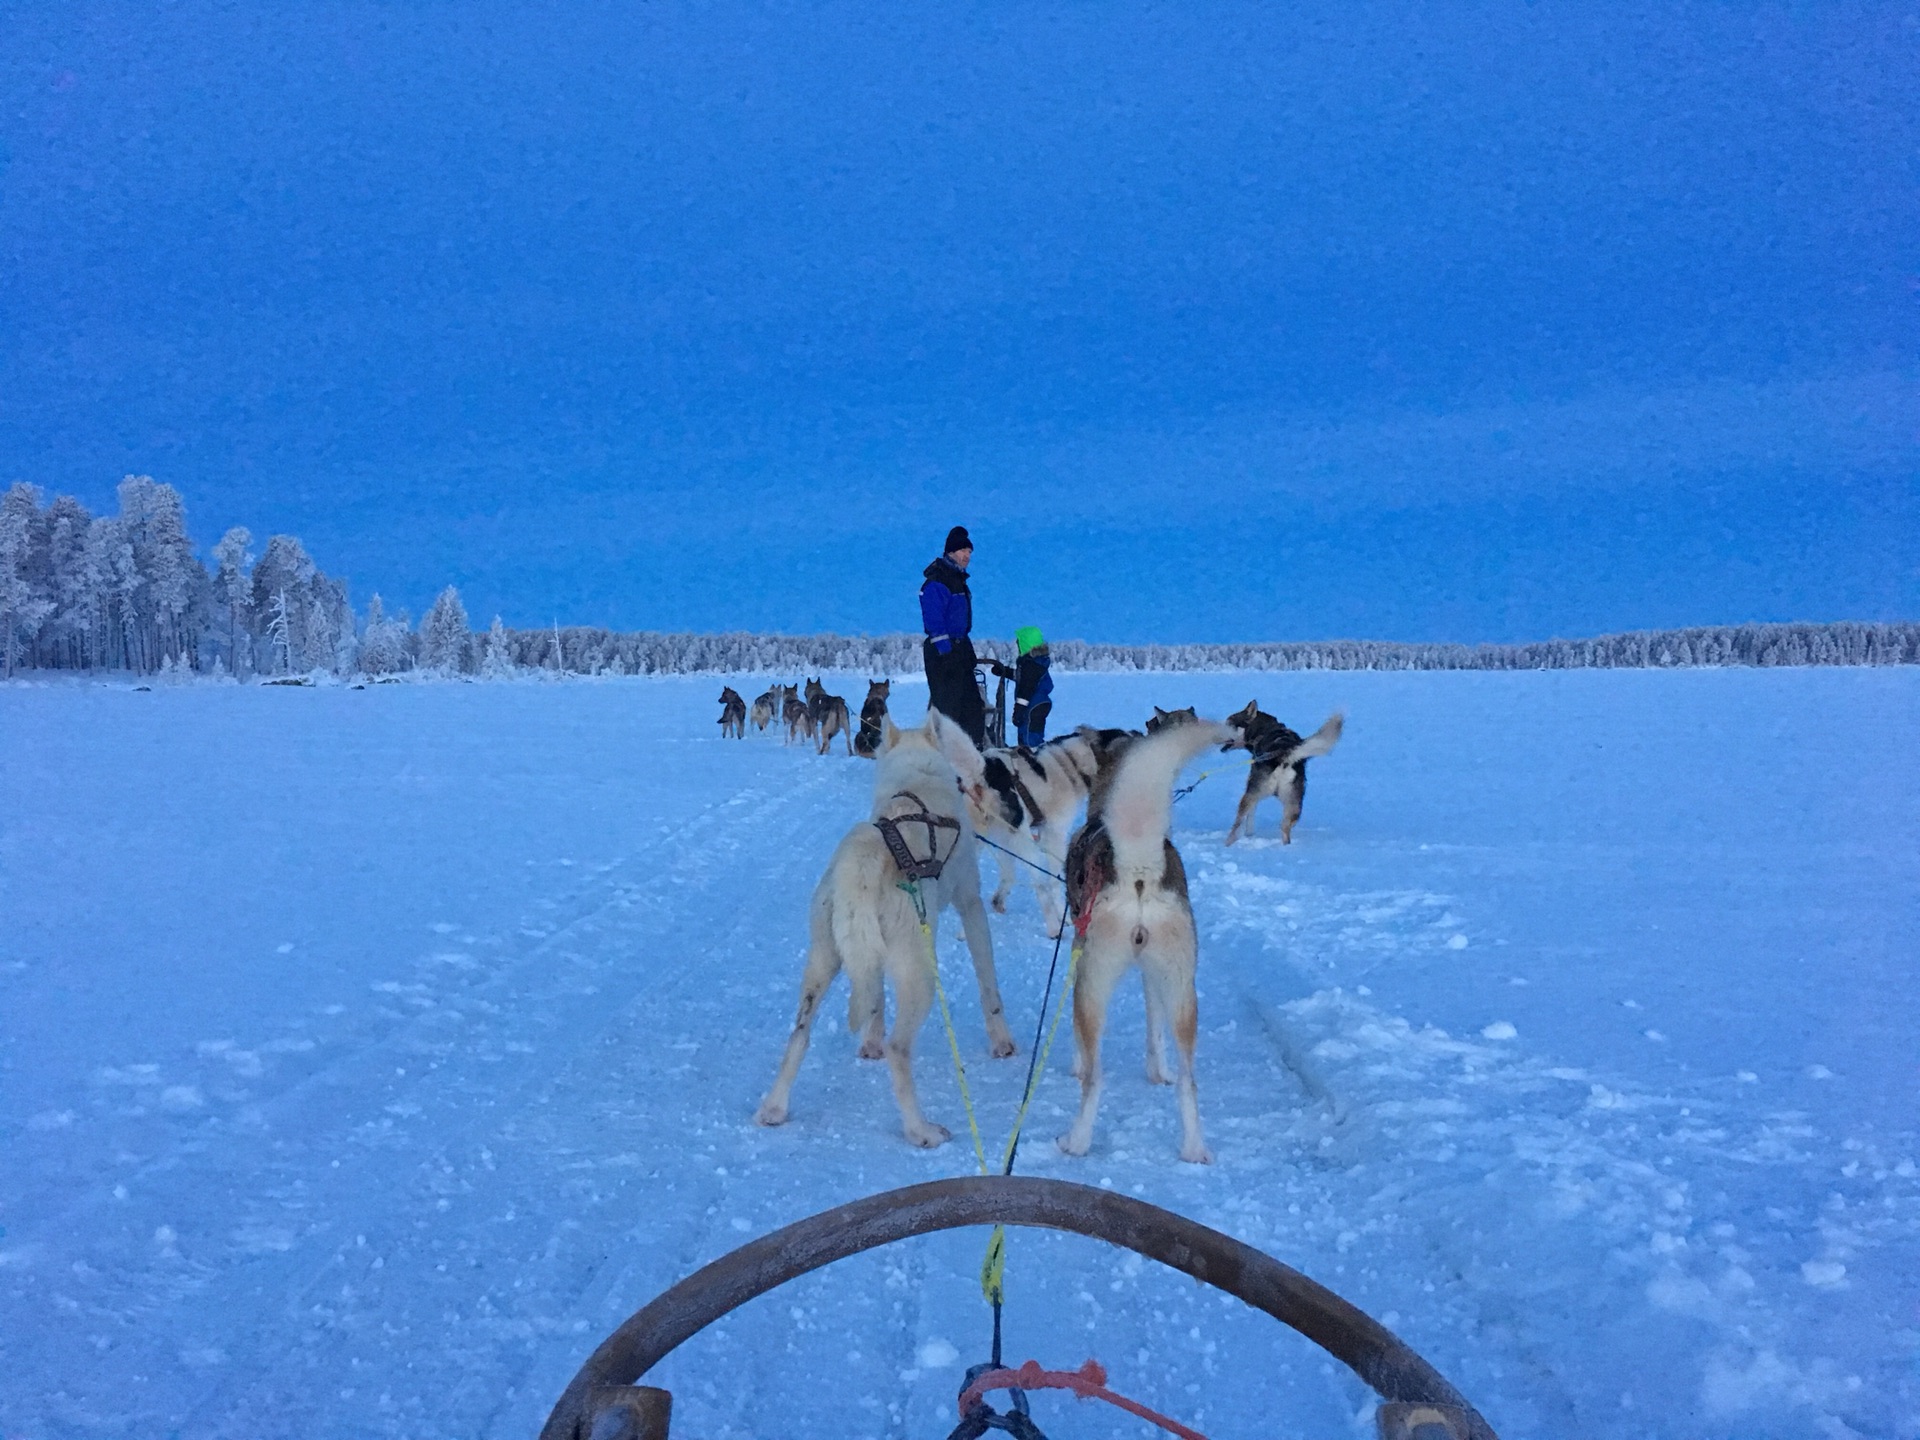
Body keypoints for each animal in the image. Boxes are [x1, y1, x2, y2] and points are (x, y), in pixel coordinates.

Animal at [752, 710, 1021, 1152]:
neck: (915, 780)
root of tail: (862, 859)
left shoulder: (868, 955)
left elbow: (874, 1000)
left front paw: (869, 1042)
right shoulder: (970, 905)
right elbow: (989, 984)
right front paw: (1002, 1041)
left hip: (823, 961)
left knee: (799, 1036)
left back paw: (773, 1108)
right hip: (920, 974)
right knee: (899, 1049)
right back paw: (922, 1131)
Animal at [1059, 718, 1236, 1167]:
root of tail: (1138, 868)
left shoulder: (1077, 955)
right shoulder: (1154, 978)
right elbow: (1154, 1029)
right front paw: (1158, 1072)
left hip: (1092, 985)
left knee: (1095, 1078)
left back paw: (1076, 1140)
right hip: (1183, 991)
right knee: (1189, 1082)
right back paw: (1194, 1148)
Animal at [1221, 706, 1344, 852]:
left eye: (1229, 723)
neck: (1264, 730)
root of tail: (1285, 754)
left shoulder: (1252, 792)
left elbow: (1249, 817)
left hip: (1250, 795)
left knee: (1237, 825)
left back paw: (1228, 844)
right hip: (1294, 805)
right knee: (1285, 827)